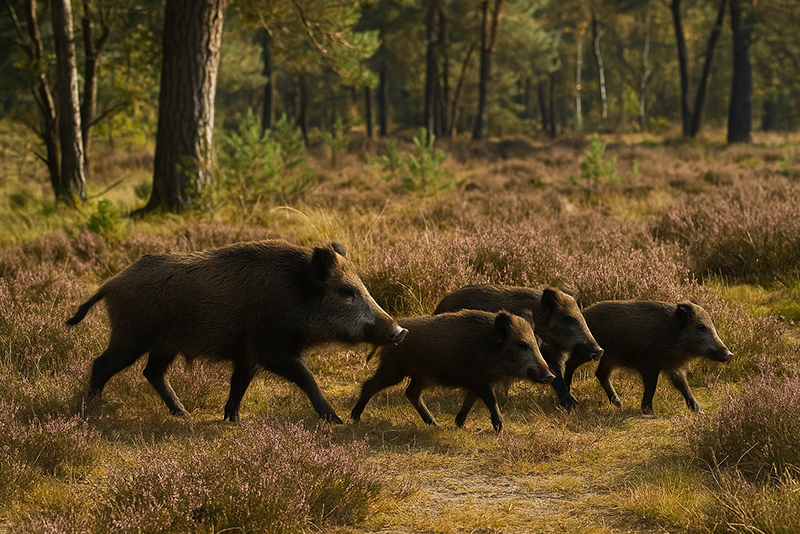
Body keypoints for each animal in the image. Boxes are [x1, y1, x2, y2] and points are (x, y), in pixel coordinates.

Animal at [66, 239, 407, 423]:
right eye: (346, 291)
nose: (399, 331)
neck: (296, 294)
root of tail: (111, 284)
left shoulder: (248, 353)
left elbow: (240, 382)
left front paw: (233, 419)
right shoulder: (272, 347)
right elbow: (305, 376)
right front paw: (334, 419)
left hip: (164, 344)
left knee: (152, 372)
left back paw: (184, 415)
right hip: (132, 335)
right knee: (102, 363)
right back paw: (91, 408)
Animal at [350, 310, 555, 432]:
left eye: (536, 343)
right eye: (522, 344)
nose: (550, 375)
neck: (489, 347)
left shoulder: (478, 382)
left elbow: (470, 401)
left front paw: (459, 424)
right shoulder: (479, 379)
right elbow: (491, 400)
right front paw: (499, 428)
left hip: (420, 376)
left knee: (411, 393)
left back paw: (434, 424)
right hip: (394, 369)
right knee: (370, 384)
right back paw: (355, 418)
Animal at [433, 285, 603, 409]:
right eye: (567, 319)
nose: (599, 350)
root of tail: (439, 307)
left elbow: (559, 377)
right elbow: (556, 378)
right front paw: (573, 405)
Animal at [577, 300, 733, 414]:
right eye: (701, 327)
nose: (729, 354)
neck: (673, 337)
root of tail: (583, 313)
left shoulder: (673, 366)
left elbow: (683, 386)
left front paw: (700, 411)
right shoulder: (649, 364)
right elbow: (652, 385)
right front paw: (649, 411)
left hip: (609, 358)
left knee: (601, 374)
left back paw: (619, 404)